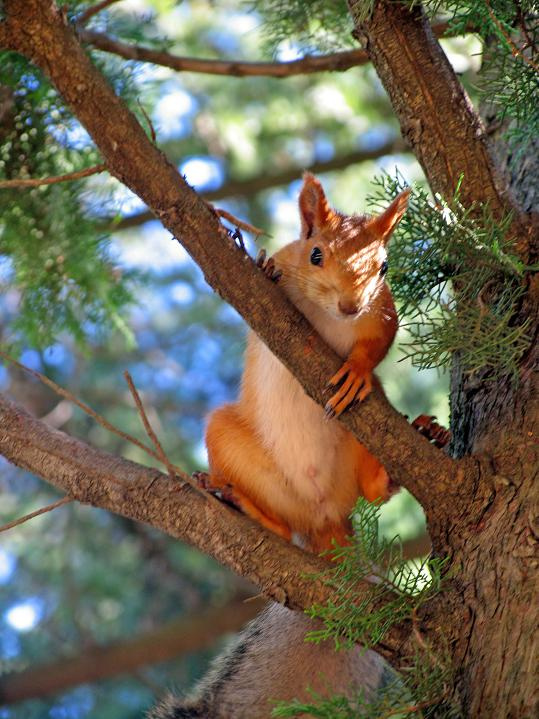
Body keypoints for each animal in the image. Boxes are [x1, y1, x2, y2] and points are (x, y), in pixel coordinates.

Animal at [149, 175, 410, 718]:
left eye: (382, 266)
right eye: (314, 254)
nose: (350, 306)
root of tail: (328, 522)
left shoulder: (382, 309)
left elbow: (381, 338)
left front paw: (357, 368)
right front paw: (267, 268)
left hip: (367, 436)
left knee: (372, 492)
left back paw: (394, 467)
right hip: (237, 449)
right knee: (282, 526)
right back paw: (241, 504)